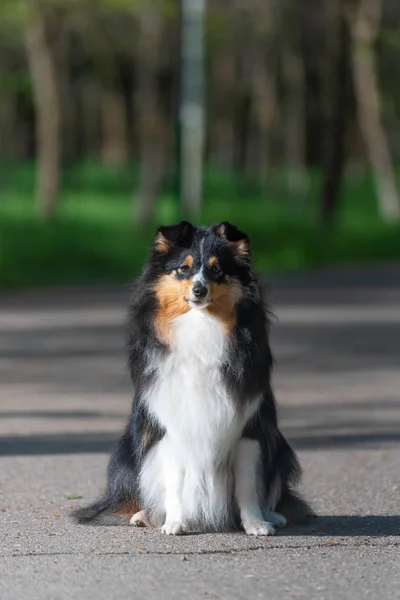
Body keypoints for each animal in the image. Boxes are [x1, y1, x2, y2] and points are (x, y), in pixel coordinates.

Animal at [73, 220, 314, 536]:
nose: (199, 290)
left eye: (216, 269)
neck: (201, 326)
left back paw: (274, 516)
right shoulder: (170, 427)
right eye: (183, 269)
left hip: (280, 449)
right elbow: (174, 483)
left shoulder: (250, 428)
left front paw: (255, 524)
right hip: (127, 453)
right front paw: (175, 522)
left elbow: (248, 485)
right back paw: (144, 515)